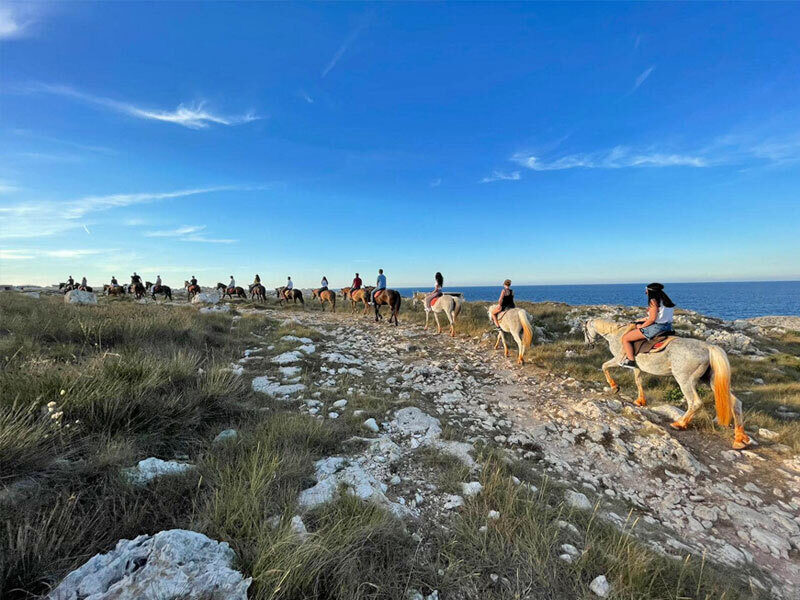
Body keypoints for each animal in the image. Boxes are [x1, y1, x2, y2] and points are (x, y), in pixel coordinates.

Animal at [583, 318, 751, 450]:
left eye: (584, 331)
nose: (588, 345)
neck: (617, 334)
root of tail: (708, 347)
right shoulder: (637, 367)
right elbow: (638, 381)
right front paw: (640, 401)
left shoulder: (618, 359)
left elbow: (604, 366)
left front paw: (614, 387)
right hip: (712, 381)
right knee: (736, 403)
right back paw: (739, 439)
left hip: (685, 380)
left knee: (695, 403)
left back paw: (679, 423)